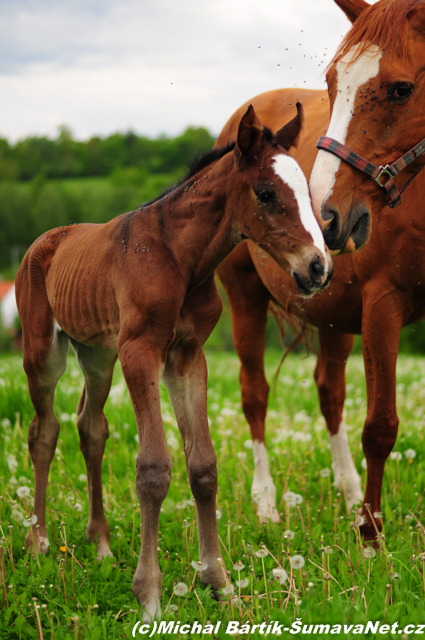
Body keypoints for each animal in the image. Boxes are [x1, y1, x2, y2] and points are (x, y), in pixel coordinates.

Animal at [15, 106, 332, 620]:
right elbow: (153, 469)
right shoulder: (141, 351)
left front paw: (218, 581)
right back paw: (38, 540)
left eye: (306, 190)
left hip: (97, 354)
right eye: (266, 193)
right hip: (44, 351)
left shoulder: (186, 356)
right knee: (44, 431)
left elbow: (202, 465)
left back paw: (100, 545)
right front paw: (149, 595)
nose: (319, 267)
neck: (181, 260)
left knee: (90, 426)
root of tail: (46, 240)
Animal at [217, 0, 424, 540]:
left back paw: (349, 492)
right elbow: (381, 426)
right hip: (244, 298)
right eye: (331, 84)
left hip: (336, 317)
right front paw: (370, 537)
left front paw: (362, 515)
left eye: (401, 89)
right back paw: (267, 503)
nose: (322, 217)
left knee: (331, 393)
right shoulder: (383, 306)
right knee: (255, 394)